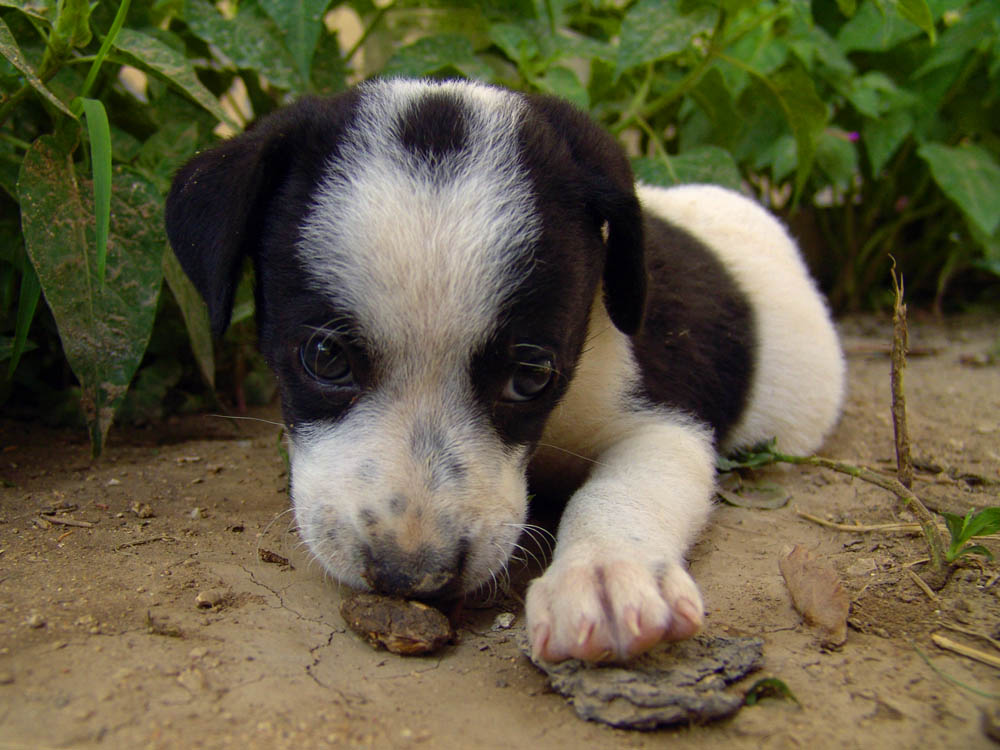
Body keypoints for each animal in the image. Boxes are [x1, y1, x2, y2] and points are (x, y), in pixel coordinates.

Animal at [166, 78, 844, 664]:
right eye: (325, 358)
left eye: (531, 376)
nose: (413, 576)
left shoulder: (664, 420)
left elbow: (623, 489)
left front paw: (603, 573)